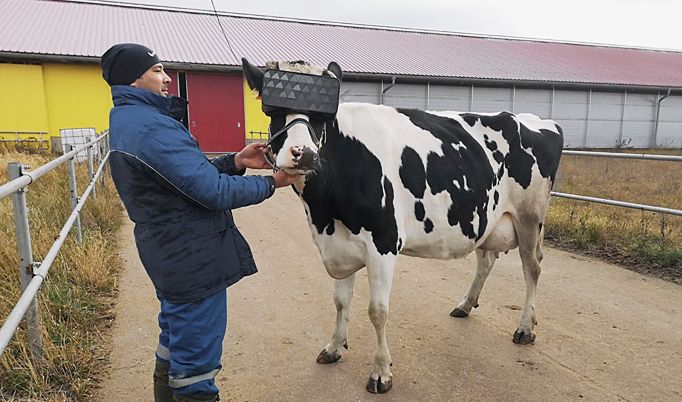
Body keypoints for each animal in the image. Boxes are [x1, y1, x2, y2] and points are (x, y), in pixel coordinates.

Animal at [242, 58, 564, 394]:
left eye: (322, 117)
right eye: (273, 112)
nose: (303, 153)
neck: (324, 213)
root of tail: (536, 120)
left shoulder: (383, 243)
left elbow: (377, 311)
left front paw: (381, 372)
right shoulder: (339, 244)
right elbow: (341, 302)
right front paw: (333, 348)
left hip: (530, 217)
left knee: (532, 268)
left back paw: (525, 328)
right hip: (485, 217)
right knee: (486, 259)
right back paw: (465, 304)